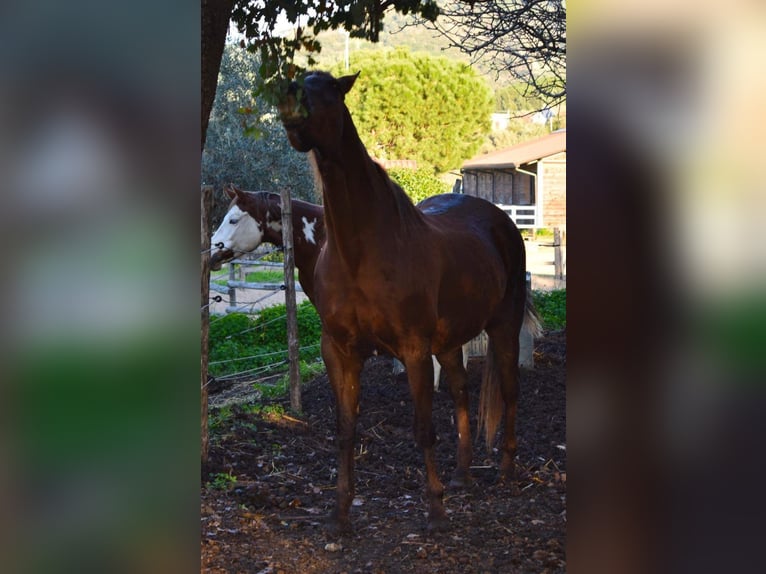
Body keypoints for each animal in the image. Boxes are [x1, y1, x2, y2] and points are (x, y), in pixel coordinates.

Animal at [280, 72, 540, 536]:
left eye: (330, 91)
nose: (292, 107)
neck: (360, 250)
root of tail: (502, 221)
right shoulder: (340, 350)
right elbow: (345, 429)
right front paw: (339, 514)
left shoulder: (414, 350)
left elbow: (422, 429)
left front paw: (435, 511)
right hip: (450, 342)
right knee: (460, 392)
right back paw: (462, 475)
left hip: (503, 327)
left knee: (510, 391)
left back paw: (506, 471)